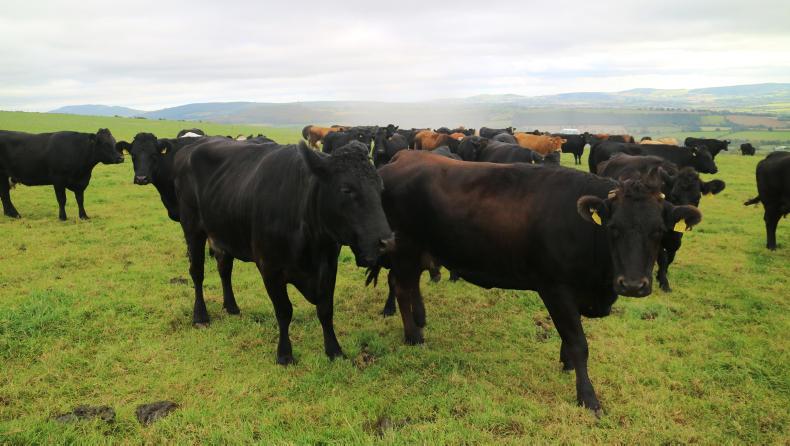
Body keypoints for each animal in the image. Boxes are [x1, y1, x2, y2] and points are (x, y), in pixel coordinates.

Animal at [174, 140, 393, 364]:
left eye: (380, 187)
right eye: (346, 189)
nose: (387, 242)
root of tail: (194, 146)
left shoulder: (329, 265)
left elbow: (325, 309)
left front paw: (334, 350)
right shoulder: (270, 269)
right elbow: (284, 311)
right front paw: (285, 354)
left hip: (223, 234)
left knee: (224, 269)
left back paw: (231, 307)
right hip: (192, 229)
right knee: (197, 273)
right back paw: (200, 316)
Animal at [367, 150, 701, 412]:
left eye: (658, 231)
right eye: (613, 228)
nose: (633, 285)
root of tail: (399, 159)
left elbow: (571, 337)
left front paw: (566, 364)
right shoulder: (555, 287)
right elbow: (579, 342)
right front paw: (588, 397)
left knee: (409, 286)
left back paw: (420, 323)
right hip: (405, 248)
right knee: (402, 287)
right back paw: (413, 336)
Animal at [597, 154, 725, 291]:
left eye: (697, 197)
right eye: (674, 196)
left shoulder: (675, 238)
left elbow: (671, 255)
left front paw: (660, 275)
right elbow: (663, 257)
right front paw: (664, 282)